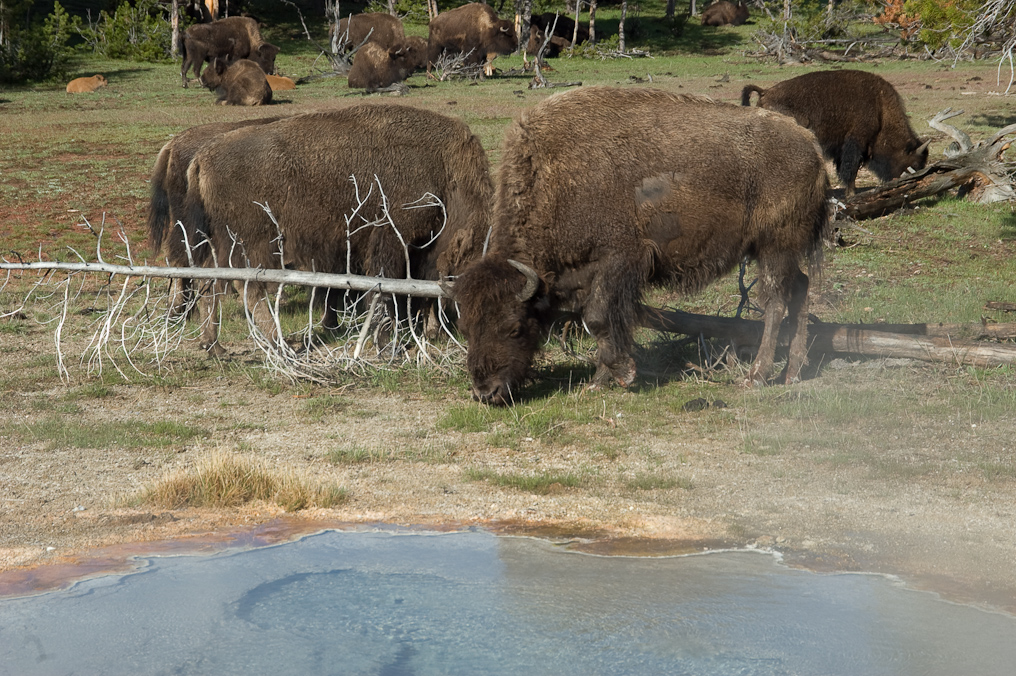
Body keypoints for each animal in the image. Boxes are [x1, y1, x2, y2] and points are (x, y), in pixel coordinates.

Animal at [182, 104, 492, 355]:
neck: (446, 171)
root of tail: (202, 158)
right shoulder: (392, 238)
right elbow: (386, 287)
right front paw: (387, 342)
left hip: (219, 241)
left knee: (207, 282)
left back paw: (215, 346)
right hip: (251, 241)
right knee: (248, 287)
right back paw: (280, 346)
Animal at [446, 87, 830, 406]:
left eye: (514, 327)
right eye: (465, 328)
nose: (486, 393)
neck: (558, 177)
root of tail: (810, 144)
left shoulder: (620, 260)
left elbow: (600, 319)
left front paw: (620, 374)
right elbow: (603, 322)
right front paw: (600, 380)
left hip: (775, 246)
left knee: (776, 302)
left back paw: (757, 377)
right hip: (779, 251)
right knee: (800, 288)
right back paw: (792, 372)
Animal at [741, 70, 930, 196]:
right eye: (914, 163)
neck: (881, 109)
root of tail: (765, 93)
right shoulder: (856, 142)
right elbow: (851, 169)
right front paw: (852, 194)